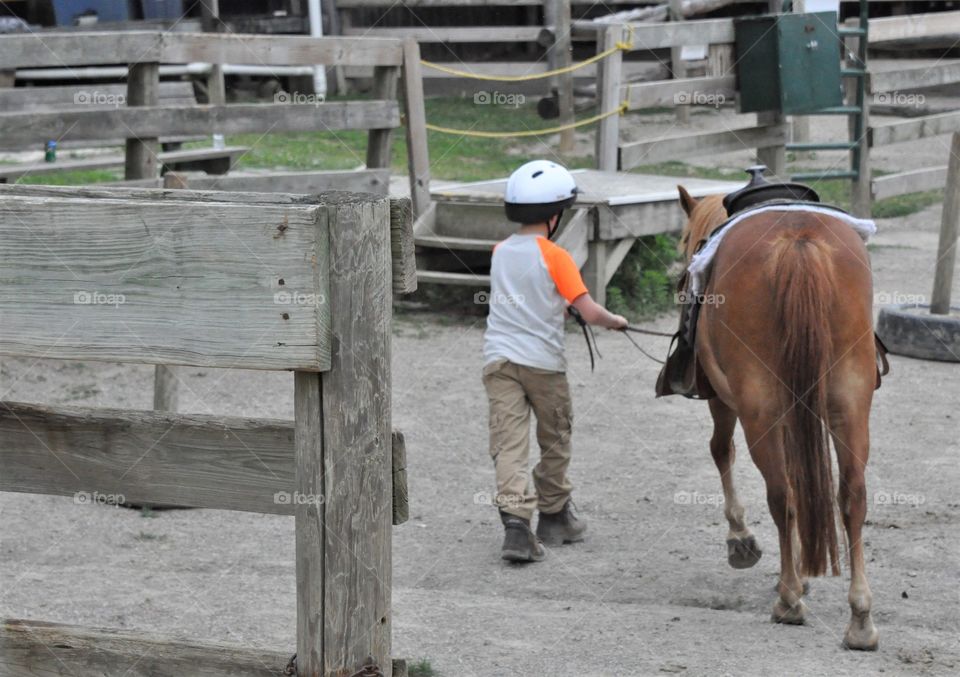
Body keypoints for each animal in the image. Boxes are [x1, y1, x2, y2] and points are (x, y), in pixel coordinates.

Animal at [676, 186, 876, 648]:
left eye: (684, 241)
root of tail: (797, 241)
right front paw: (803, 571)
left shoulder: (723, 400)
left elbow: (721, 450)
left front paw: (742, 540)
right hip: (849, 403)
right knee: (851, 495)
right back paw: (859, 618)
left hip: (760, 407)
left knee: (780, 494)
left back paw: (788, 600)